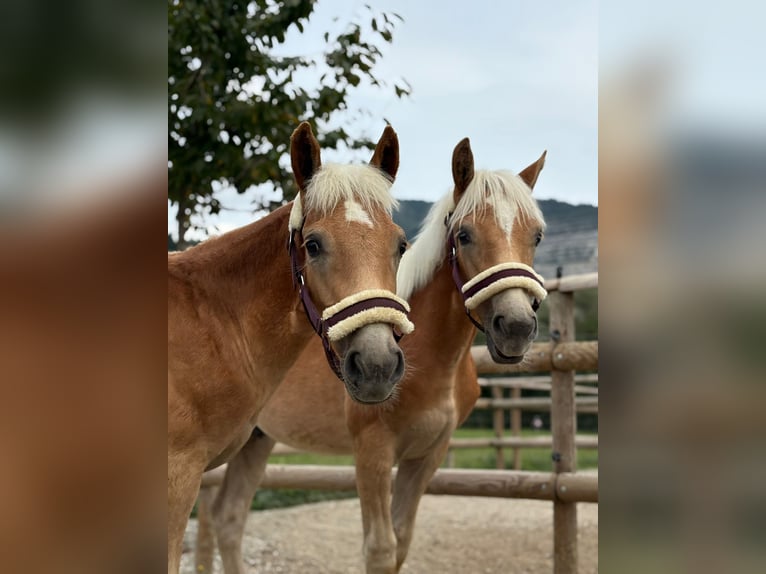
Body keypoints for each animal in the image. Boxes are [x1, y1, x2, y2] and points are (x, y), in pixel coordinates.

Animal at [195, 138, 548, 574]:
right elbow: (380, 549)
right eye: (464, 235)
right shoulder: (373, 452)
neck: (434, 359)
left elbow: (401, 543)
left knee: (228, 518)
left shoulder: (427, 456)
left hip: (256, 441)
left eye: (536, 236)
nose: (515, 327)